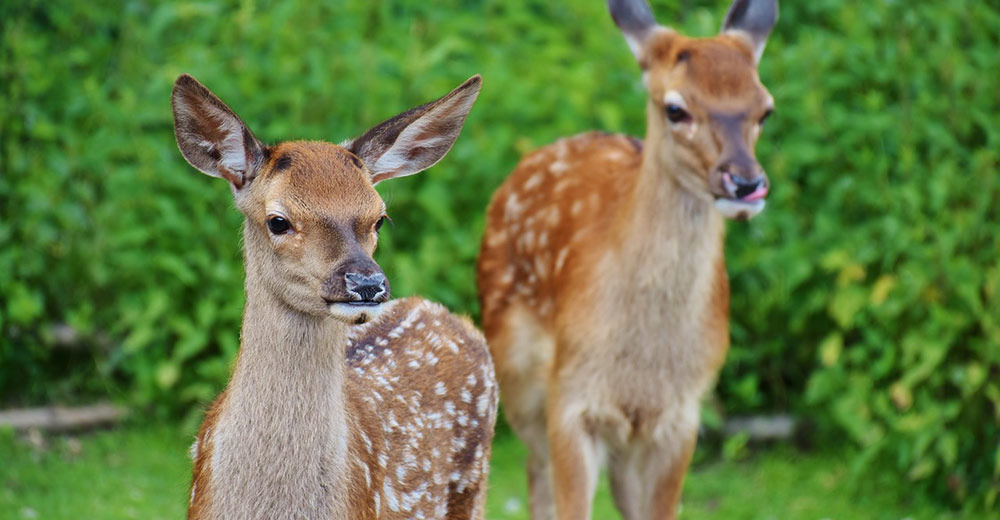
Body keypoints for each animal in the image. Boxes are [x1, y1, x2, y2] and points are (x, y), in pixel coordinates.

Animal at [476, 2, 780, 516]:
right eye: (675, 108)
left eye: (765, 108)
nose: (745, 183)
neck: (642, 363)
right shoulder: (571, 398)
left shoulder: (681, 413)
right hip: (517, 376)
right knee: (536, 474)